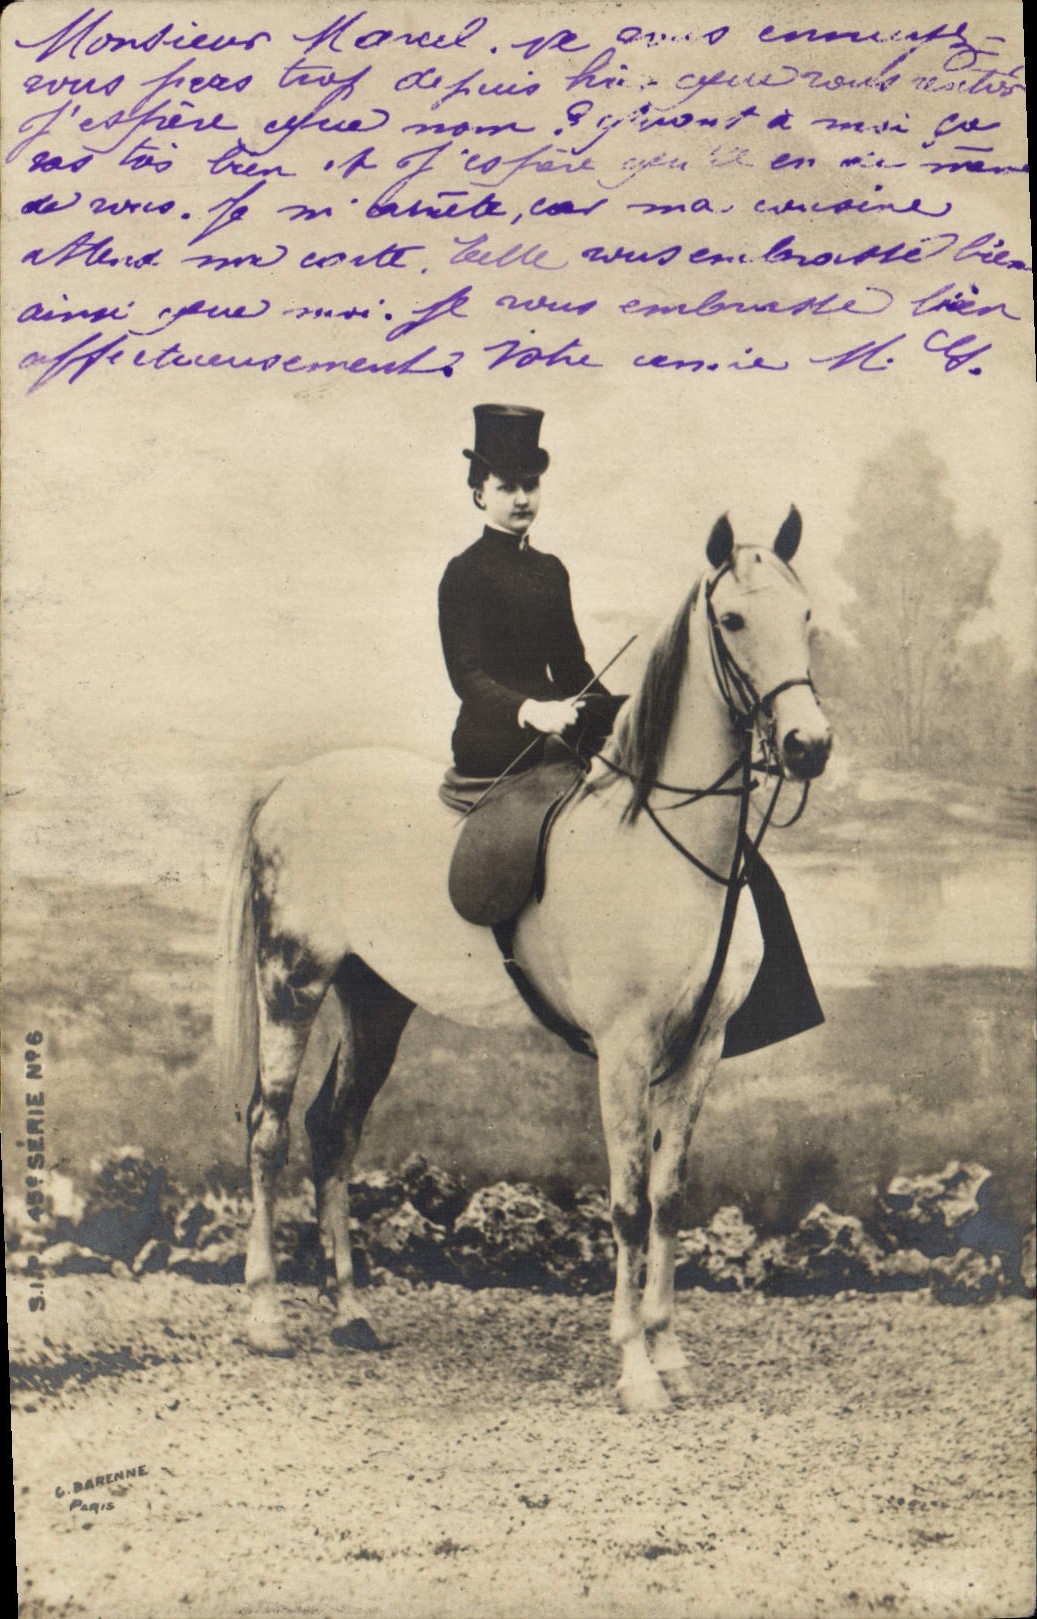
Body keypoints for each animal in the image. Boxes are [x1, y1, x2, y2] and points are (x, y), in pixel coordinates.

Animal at [215, 508, 832, 1412]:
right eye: (732, 620)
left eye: (806, 615)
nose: (806, 744)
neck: (666, 846)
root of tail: (290, 784)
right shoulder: (623, 1049)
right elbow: (625, 1204)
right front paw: (634, 1367)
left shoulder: (701, 1046)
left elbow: (668, 1195)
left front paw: (671, 1353)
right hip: (290, 979)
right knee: (267, 1128)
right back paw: (265, 1316)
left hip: (376, 999)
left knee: (334, 1127)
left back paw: (352, 1312)